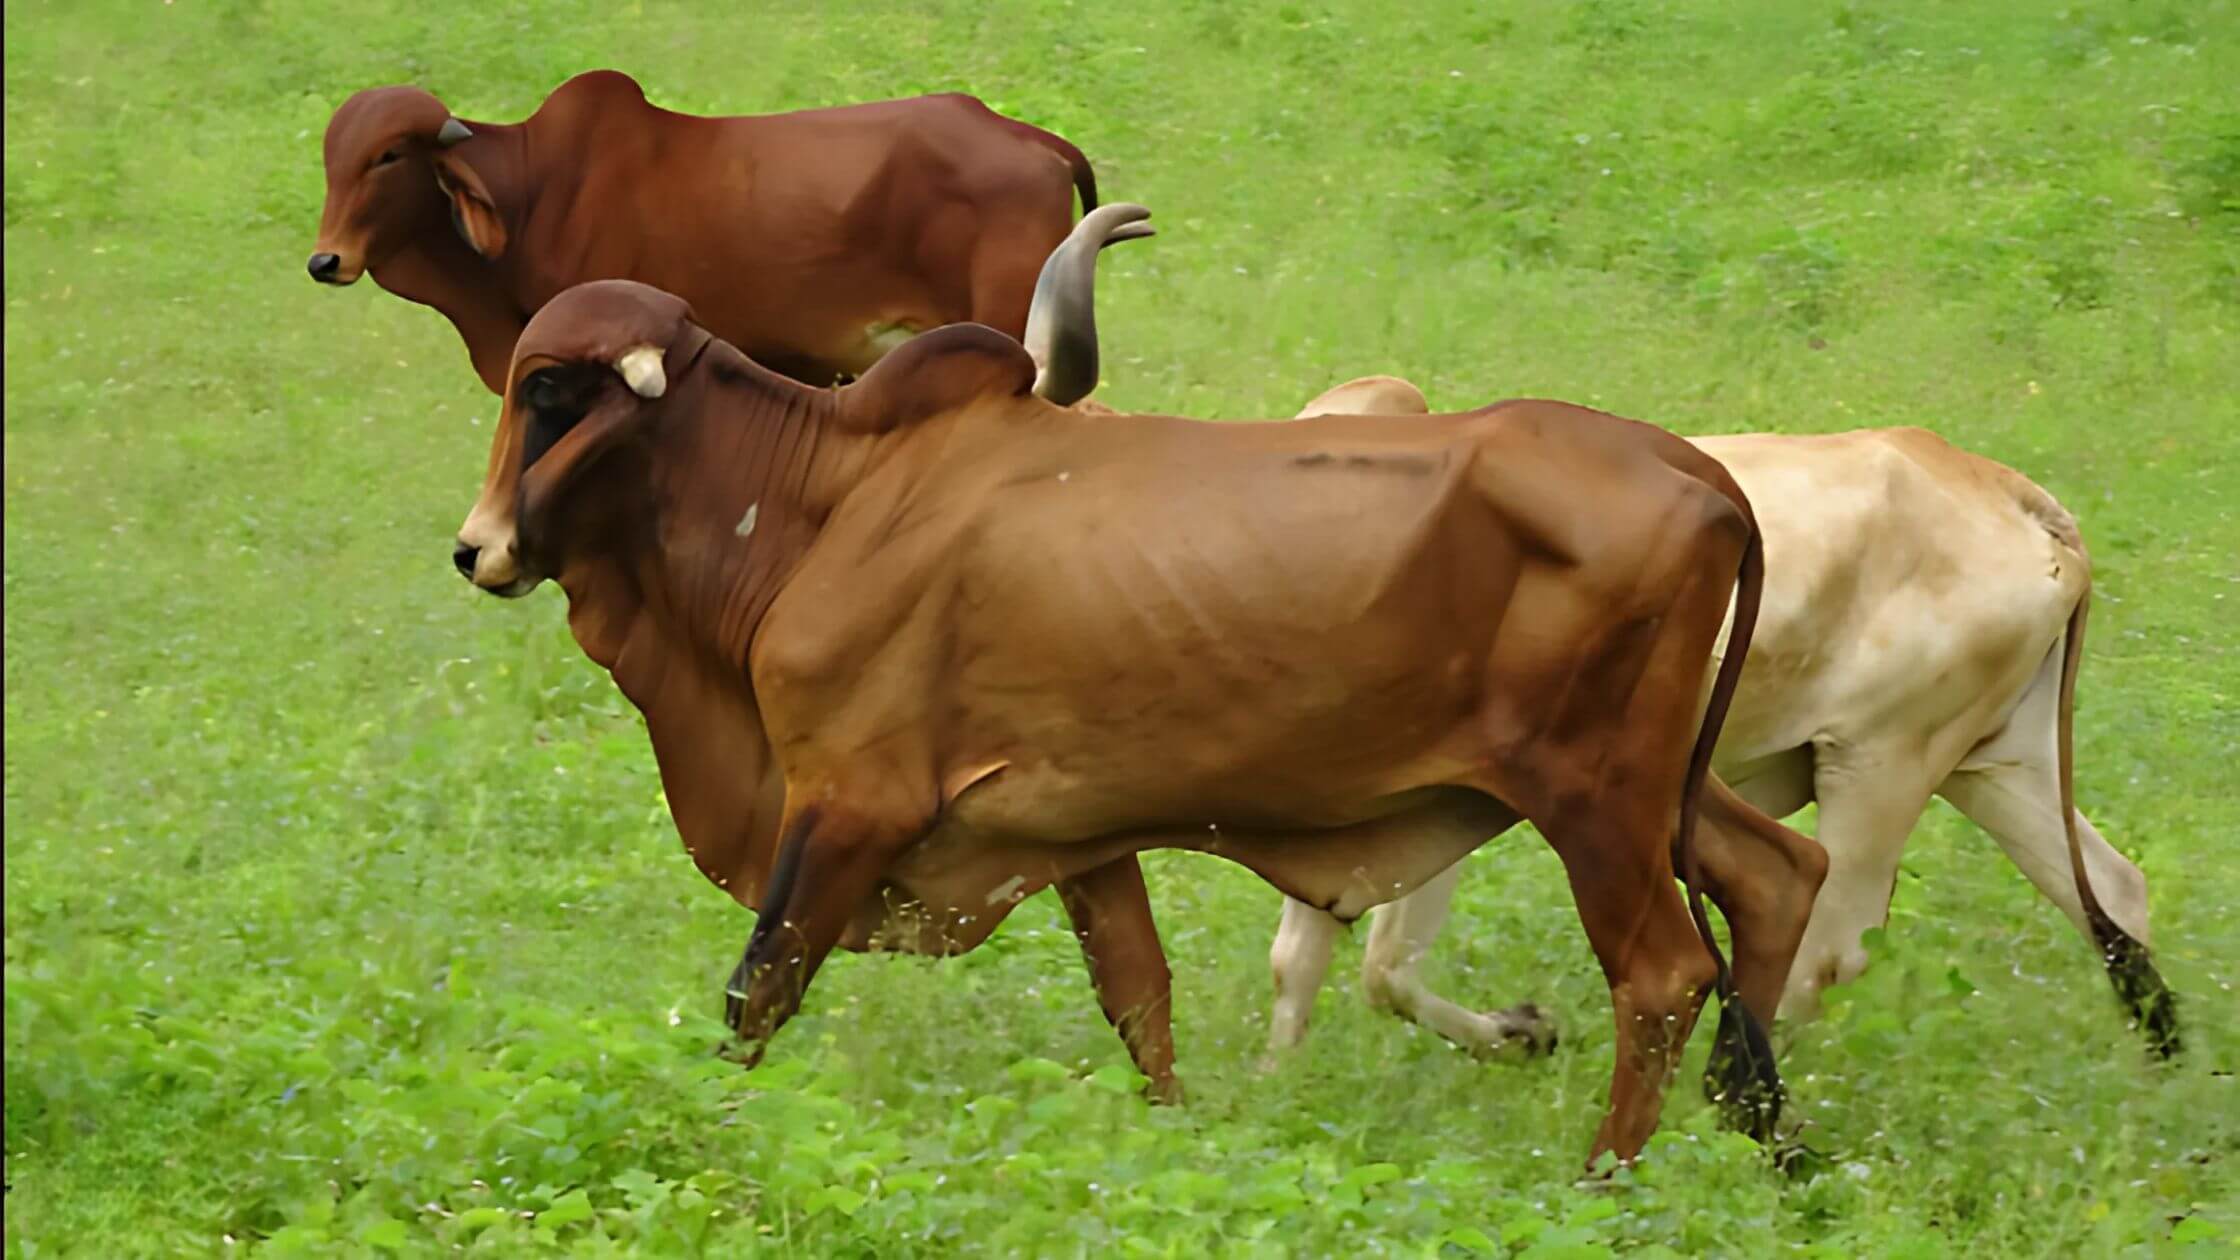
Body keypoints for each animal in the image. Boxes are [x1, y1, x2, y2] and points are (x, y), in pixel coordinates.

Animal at [443, 266, 1832, 1169]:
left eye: (550, 390)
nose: (476, 549)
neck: (826, 502)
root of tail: (1695, 471)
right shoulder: (1072, 832)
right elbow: (1139, 1003)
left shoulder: (846, 805)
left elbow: (756, 995)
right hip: (1658, 785)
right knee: (1776, 876)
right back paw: (1750, 1147)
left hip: (1593, 796)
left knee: (1663, 974)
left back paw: (1607, 1179)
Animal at [1262, 380, 2181, 1066]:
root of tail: (2004, 491)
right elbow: (1315, 958)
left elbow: (1379, 965)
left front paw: (1524, 1032)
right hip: (1992, 763)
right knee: (2113, 892)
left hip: (1879, 764)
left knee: (1826, 945)